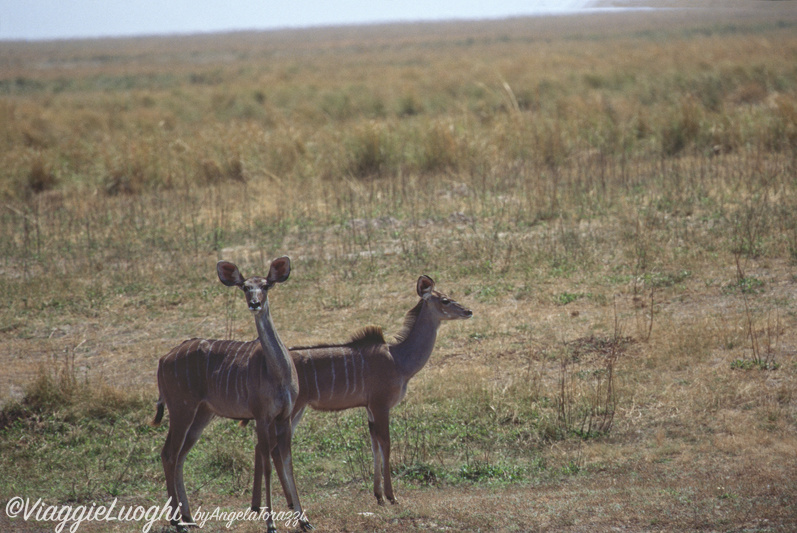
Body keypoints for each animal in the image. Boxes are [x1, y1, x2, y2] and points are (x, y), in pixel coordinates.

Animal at [149, 256, 310, 528]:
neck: (278, 373)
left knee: (180, 456)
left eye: (266, 285)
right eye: (245, 287)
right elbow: (268, 463)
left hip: (202, 414)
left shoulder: (285, 416)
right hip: (181, 408)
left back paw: (189, 517)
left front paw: (305, 521)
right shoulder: (262, 416)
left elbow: (288, 462)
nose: (254, 303)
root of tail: (162, 360)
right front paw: (270, 524)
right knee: (169, 453)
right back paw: (177, 522)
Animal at [252, 274, 470, 508]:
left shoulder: (370, 408)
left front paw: (379, 496)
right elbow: (386, 444)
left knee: (268, 447)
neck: (399, 360)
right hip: (291, 411)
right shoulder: (381, 405)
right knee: (273, 448)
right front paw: (392, 496)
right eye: (445, 300)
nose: (468, 311)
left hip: (293, 412)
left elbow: (374, 445)